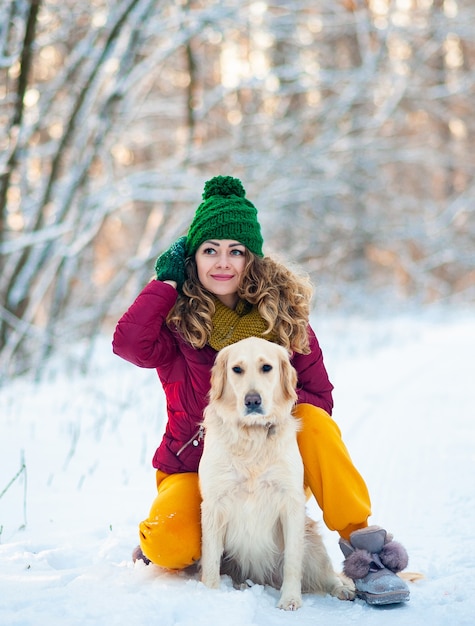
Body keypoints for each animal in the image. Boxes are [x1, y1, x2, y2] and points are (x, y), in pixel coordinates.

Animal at [199, 336, 356, 608]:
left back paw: (342, 588)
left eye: (266, 367)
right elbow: (210, 561)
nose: (252, 400)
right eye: (237, 369)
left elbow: (293, 561)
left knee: (326, 574)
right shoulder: (213, 504)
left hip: (312, 544)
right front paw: (209, 596)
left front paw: (290, 600)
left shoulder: (290, 502)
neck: (252, 436)